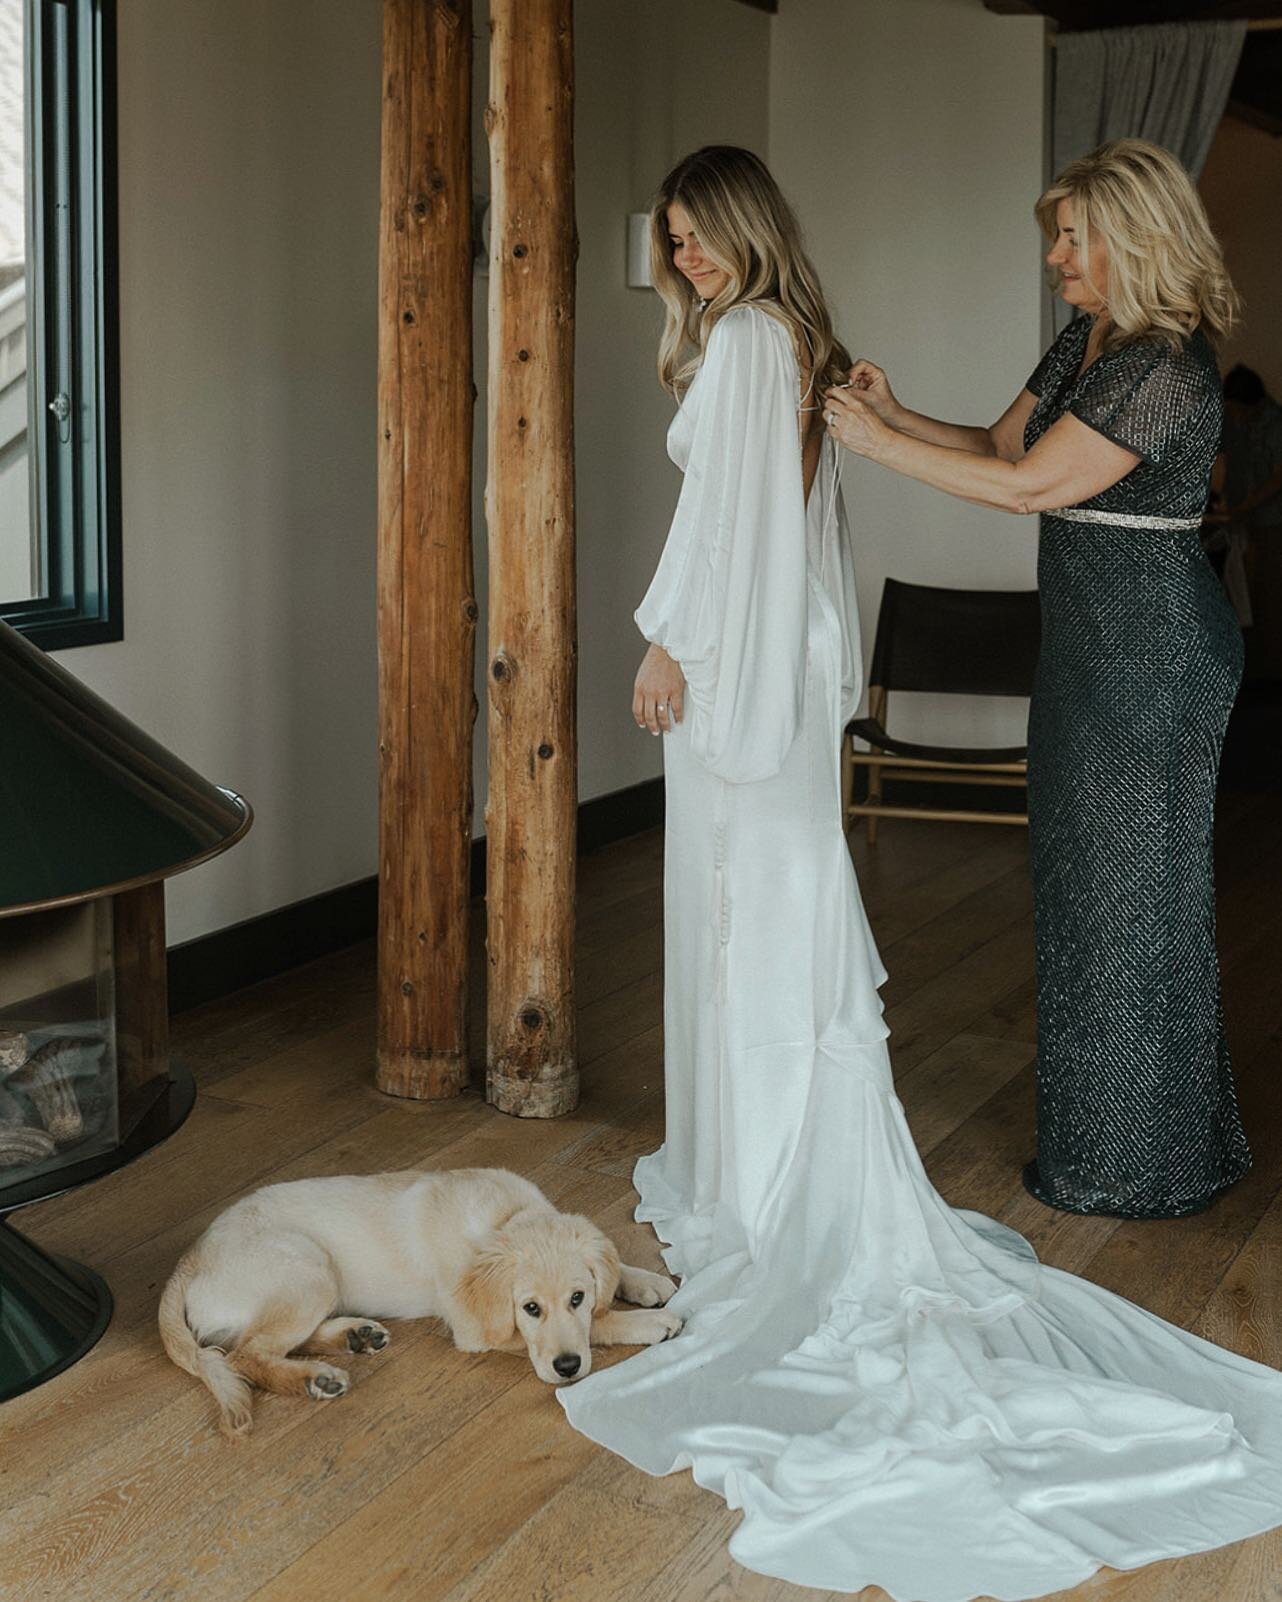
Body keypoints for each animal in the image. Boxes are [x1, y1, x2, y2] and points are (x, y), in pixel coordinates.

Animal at [158, 1166, 679, 1441]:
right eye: (530, 1309)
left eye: (577, 1296)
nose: (568, 1368)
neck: (504, 1217)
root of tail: (189, 1256)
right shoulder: (475, 1328)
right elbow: (599, 1325)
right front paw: (648, 1323)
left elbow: (608, 1275)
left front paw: (646, 1281)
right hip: (308, 1267)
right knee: (244, 1354)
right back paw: (316, 1379)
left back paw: (356, 1336)